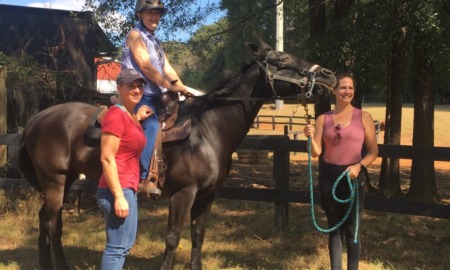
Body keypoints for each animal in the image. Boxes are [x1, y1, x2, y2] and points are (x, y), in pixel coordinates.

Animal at [18, 41, 334, 268]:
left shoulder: (207, 195)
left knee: (47, 220)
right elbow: (172, 238)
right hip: (55, 181)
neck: (207, 128)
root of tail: (36, 120)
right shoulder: (184, 193)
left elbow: (197, 235)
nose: (328, 75)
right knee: (52, 223)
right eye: (283, 59)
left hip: (64, 180)